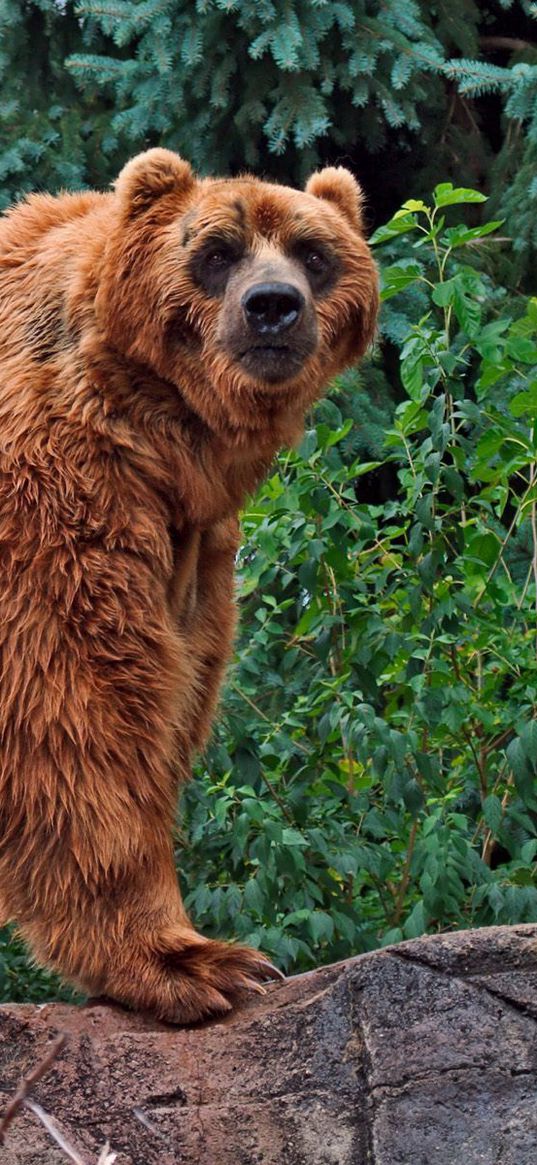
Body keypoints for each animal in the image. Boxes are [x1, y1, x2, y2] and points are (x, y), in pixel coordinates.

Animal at [0, 147, 377, 1020]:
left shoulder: (194, 543)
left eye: (313, 251)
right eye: (215, 251)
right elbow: (75, 710)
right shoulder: (54, 480)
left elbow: (176, 687)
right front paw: (198, 961)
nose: (272, 308)